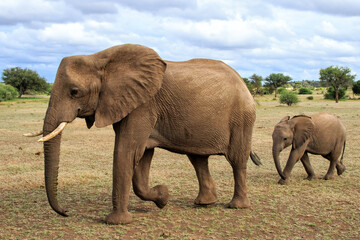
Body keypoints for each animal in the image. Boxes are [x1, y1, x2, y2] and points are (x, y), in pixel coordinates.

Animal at [30, 43, 258, 225]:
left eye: (74, 92)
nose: (66, 212)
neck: (100, 58)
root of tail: (243, 82)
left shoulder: (143, 105)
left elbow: (126, 151)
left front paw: (116, 222)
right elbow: (142, 158)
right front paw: (163, 197)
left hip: (242, 118)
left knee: (237, 160)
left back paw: (237, 206)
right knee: (198, 159)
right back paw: (204, 203)